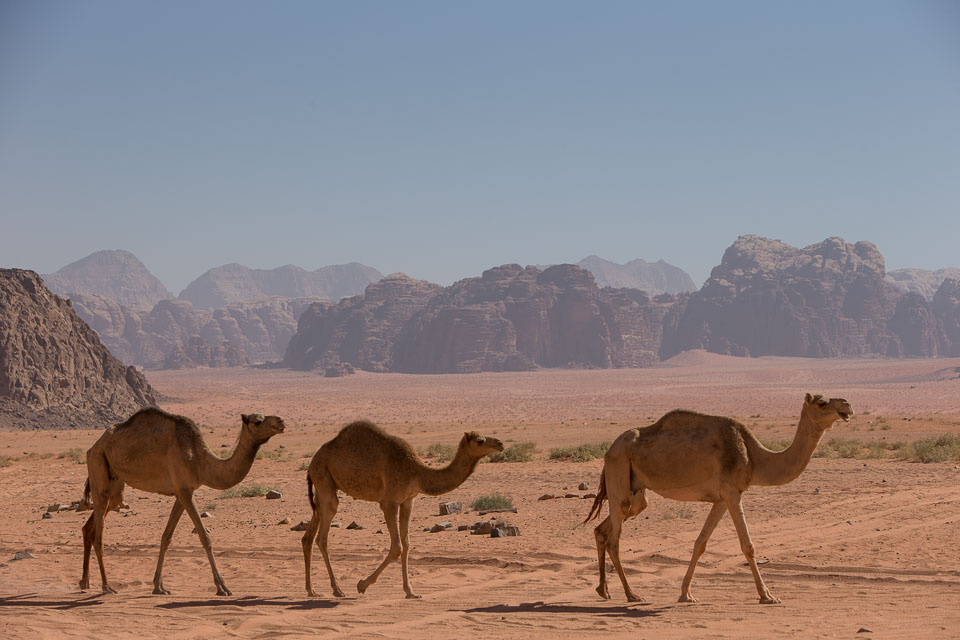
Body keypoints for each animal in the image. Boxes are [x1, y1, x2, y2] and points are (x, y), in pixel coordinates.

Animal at [79, 408, 284, 596]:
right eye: (258, 421)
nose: (281, 421)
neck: (199, 459)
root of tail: (95, 445)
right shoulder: (185, 491)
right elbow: (205, 537)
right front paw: (222, 587)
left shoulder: (181, 492)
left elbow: (166, 537)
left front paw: (159, 587)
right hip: (98, 462)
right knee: (99, 533)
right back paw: (106, 587)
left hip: (114, 482)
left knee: (92, 524)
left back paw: (84, 583)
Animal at [304, 422, 506, 596]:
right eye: (480, 440)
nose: (500, 443)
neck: (417, 472)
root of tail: (313, 461)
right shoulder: (389, 502)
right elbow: (397, 547)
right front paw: (362, 585)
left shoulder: (408, 501)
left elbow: (407, 544)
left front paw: (410, 591)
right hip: (323, 477)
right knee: (323, 534)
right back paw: (337, 590)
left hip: (321, 489)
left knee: (309, 536)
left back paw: (312, 590)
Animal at [580, 390, 852, 604]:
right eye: (821, 403)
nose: (847, 405)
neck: (755, 458)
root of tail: (609, 449)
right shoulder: (732, 493)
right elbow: (748, 545)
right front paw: (767, 595)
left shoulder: (721, 499)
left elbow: (700, 543)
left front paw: (685, 594)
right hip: (619, 473)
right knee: (614, 539)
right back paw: (632, 594)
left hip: (635, 494)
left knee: (603, 529)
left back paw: (604, 591)